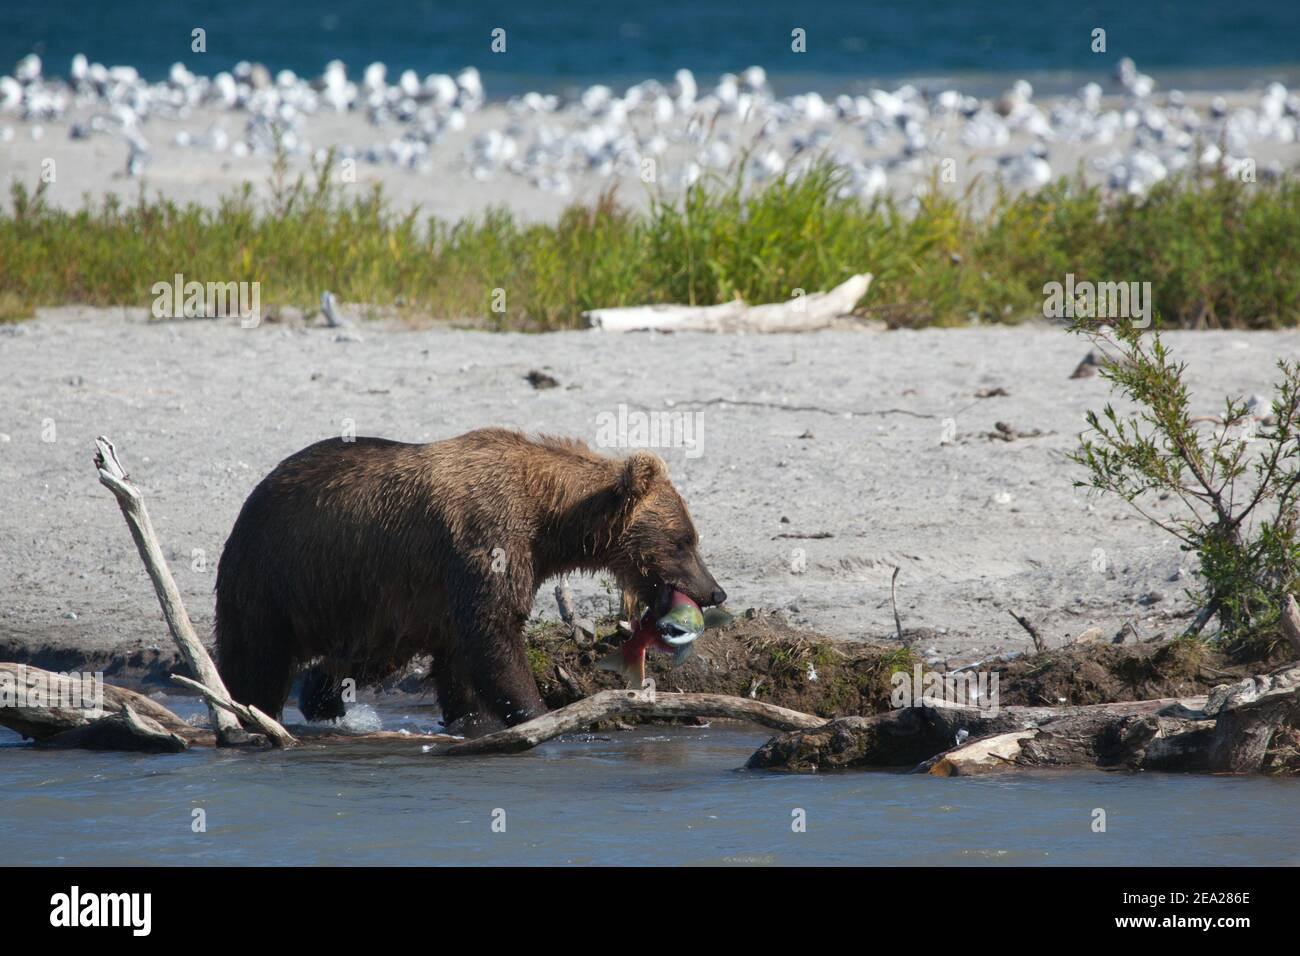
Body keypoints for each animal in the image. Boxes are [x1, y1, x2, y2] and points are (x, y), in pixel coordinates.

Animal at [211, 429, 722, 738]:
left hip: (370, 598)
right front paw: (539, 714)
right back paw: (254, 711)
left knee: (366, 655)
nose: (715, 590)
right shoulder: (489, 542)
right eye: (683, 540)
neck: (548, 520)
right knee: (257, 656)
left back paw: (322, 697)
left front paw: (474, 720)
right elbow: (492, 636)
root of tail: (259, 488)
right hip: (274, 573)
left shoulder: (454, 582)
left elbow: (461, 654)